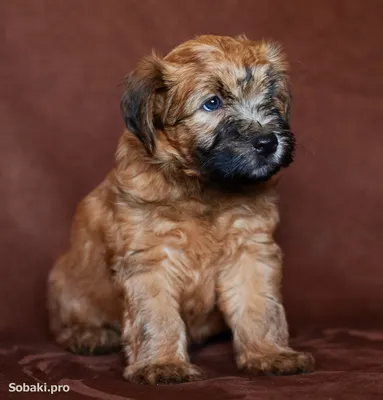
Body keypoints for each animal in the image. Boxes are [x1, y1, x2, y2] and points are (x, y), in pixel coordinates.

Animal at [48, 34, 316, 384]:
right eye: (212, 103)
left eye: (270, 97)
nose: (268, 142)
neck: (202, 187)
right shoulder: (150, 258)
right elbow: (157, 316)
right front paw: (161, 364)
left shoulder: (250, 249)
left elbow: (259, 305)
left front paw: (270, 354)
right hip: (66, 281)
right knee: (68, 323)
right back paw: (90, 335)